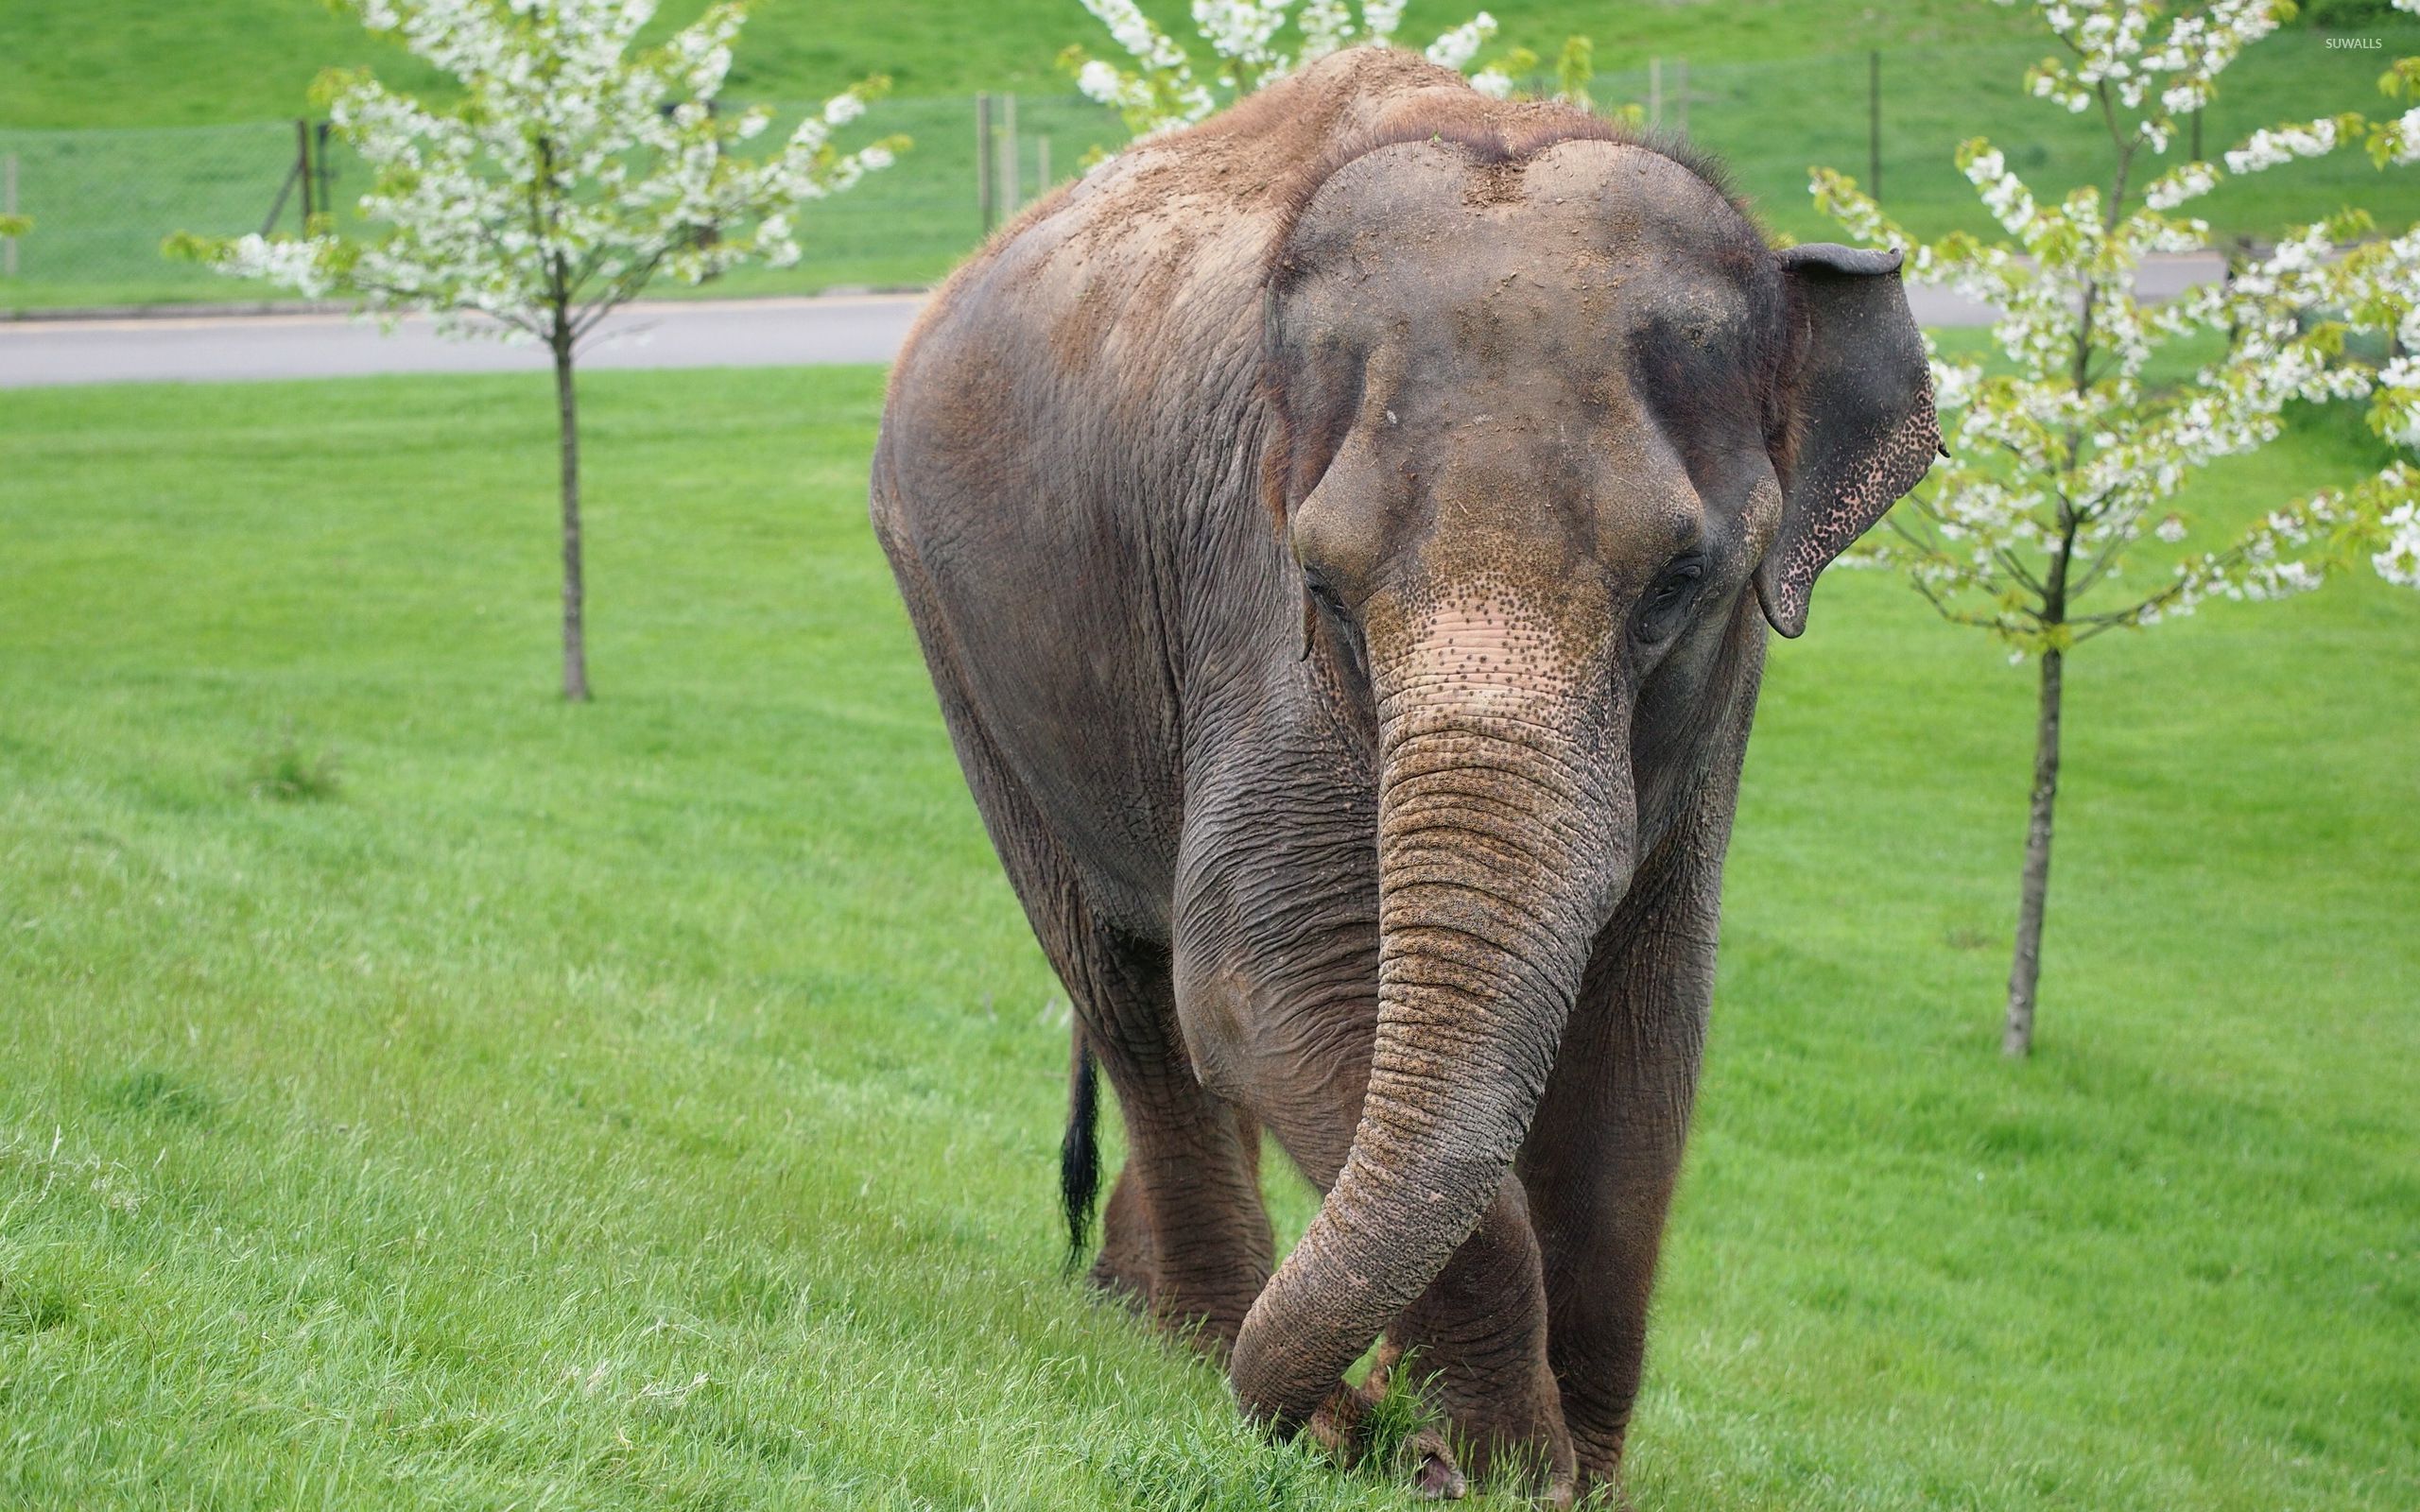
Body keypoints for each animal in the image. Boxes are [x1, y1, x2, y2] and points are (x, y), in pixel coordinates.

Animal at [870, 45, 1937, 1504]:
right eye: (1322, 585)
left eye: (1681, 581)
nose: (1374, 1413)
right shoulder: (1247, 606)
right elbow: (1262, 978)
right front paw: (1482, 1465)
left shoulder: (1722, 710)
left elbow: (1648, 1029)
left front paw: (1559, 1473)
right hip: (961, 640)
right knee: (1128, 986)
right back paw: (1199, 1343)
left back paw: (1155, 1324)